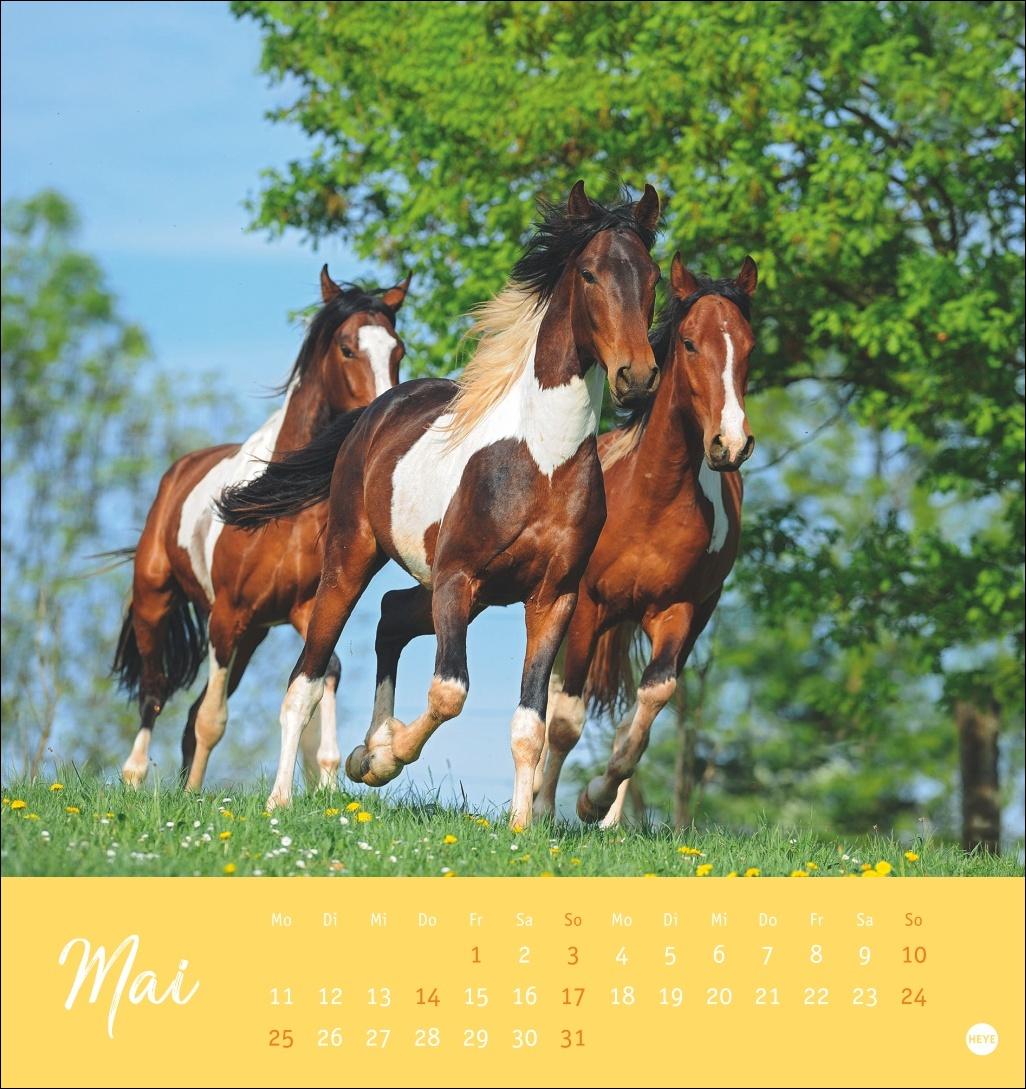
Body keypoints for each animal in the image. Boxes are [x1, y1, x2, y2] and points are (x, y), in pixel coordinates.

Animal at [113, 266, 410, 791]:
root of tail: (177, 473)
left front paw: (326, 781)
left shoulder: (300, 608)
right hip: (157, 602)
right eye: (347, 348)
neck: (285, 508)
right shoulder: (227, 616)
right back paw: (133, 779)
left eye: (398, 350)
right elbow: (212, 720)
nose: (382, 411)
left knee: (185, 714)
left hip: (252, 635)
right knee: (154, 692)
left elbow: (326, 671)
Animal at [218, 180, 662, 826]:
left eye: (654, 275)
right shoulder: (457, 577)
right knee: (306, 677)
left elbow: (530, 724)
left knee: (391, 616)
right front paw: (380, 760)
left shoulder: (551, 597)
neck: (540, 461)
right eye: (588, 273)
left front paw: (521, 826)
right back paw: (285, 795)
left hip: (460, 594)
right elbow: (450, 692)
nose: (638, 376)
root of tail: (374, 411)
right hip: (352, 560)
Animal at [531, 251, 758, 826]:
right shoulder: (587, 606)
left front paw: (594, 799)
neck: (653, 497)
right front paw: (542, 810)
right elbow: (565, 716)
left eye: (749, 346)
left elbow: (651, 703)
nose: (731, 444)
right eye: (690, 343)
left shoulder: (676, 612)